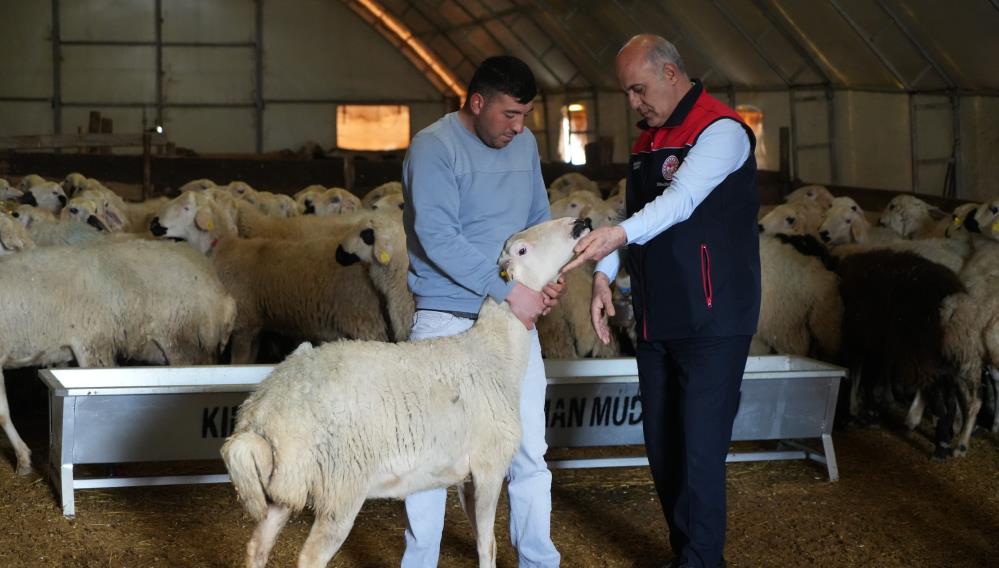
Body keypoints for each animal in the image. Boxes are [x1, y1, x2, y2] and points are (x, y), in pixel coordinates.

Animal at [152, 193, 390, 362]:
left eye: (186, 208)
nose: (154, 224)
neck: (223, 249)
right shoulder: (256, 326)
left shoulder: (243, 325)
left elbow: (237, 364)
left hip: (364, 321)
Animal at [223, 216, 588, 568]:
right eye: (522, 250)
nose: (581, 224)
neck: (495, 350)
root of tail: (259, 413)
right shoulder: (489, 464)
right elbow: (488, 545)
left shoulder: (464, 477)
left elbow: (481, 538)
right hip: (340, 488)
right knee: (309, 558)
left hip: (285, 487)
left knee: (257, 547)